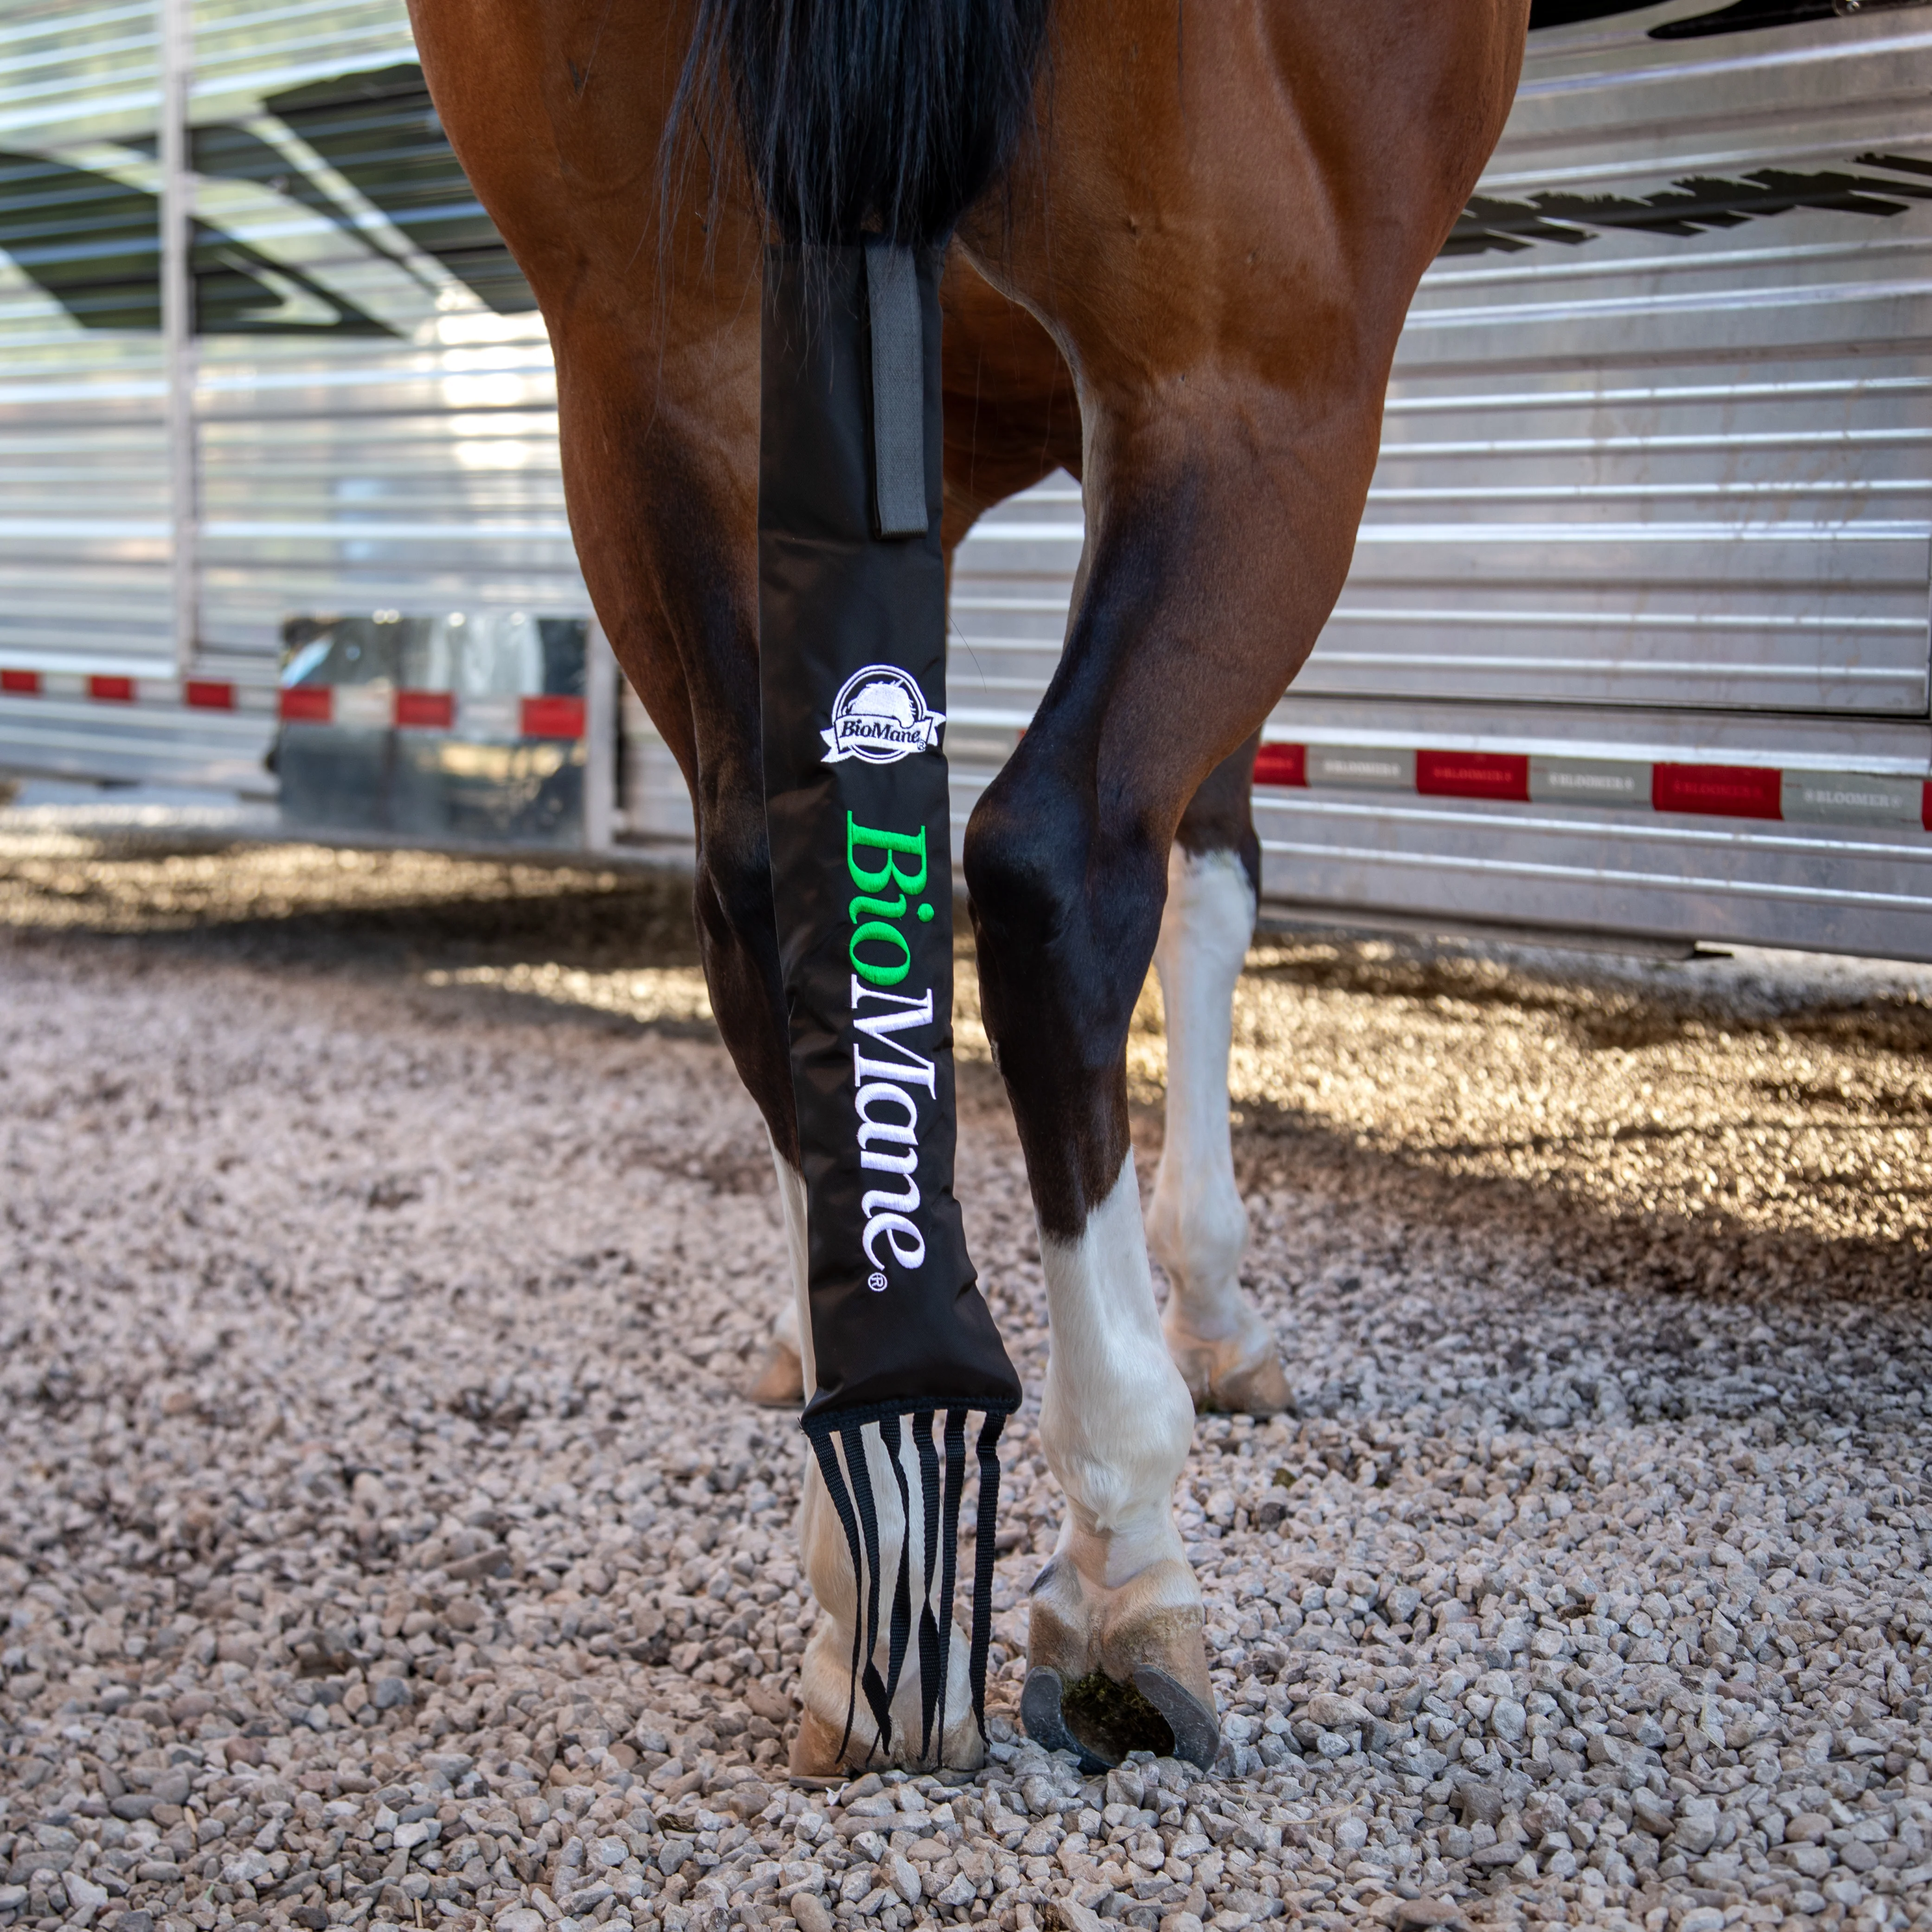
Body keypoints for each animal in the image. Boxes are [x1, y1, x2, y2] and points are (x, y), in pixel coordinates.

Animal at [405, 0, 1530, 1774]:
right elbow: (1203, 869)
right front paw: (1212, 1309)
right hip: (1260, 382)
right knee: (1059, 868)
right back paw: (1126, 1568)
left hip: (644, 369)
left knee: (759, 886)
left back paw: (859, 1592)